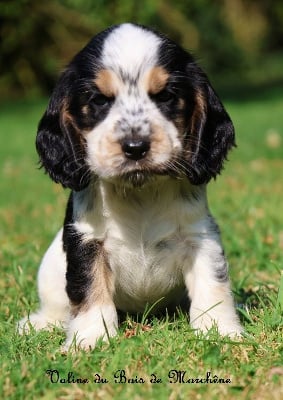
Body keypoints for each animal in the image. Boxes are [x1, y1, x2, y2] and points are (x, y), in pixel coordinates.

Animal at [19, 23, 242, 348]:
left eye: (166, 96)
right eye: (99, 100)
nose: (135, 147)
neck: (141, 193)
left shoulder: (199, 235)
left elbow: (212, 283)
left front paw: (220, 330)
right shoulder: (87, 241)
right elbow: (89, 287)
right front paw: (90, 338)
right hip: (51, 269)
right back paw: (38, 323)